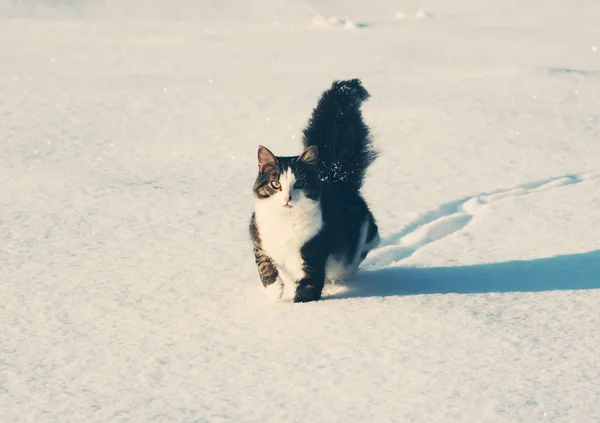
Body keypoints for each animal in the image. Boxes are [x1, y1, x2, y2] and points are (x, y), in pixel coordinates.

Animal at [248, 79, 380, 304]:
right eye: (276, 184)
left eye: (300, 183)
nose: (287, 198)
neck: (285, 221)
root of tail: (335, 178)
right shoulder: (258, 236)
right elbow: (264, 264)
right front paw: (275, 292)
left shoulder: (313, 253)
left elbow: (308, 289)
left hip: (357, 242)